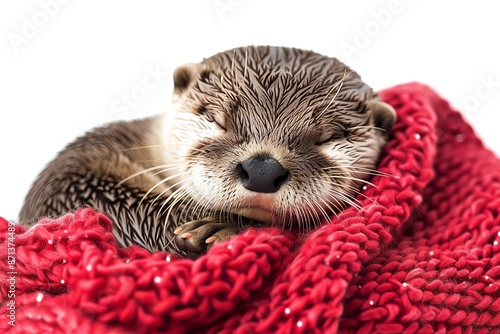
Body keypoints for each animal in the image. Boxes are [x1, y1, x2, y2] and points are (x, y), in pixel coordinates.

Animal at [18, 45, 394, 258]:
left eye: (329, 137)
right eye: (217, 119)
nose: (262, 170)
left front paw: (220, 227)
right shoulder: (68, 172)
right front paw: (212, 226)